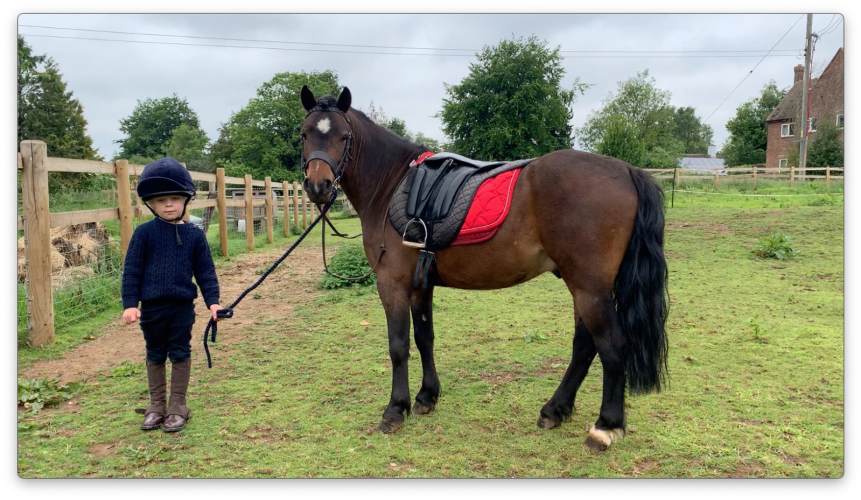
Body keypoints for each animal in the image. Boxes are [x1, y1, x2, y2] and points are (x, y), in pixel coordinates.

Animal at [299, 85, 669, 451]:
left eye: (344, 136)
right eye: (304, 134)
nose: (318, 186)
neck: (391, 185)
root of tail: (627, 170)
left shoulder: (393, 282)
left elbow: (398, 345)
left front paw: (394, 409)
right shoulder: (421, 284)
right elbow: (424, 337)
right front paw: (426, 397)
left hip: (589, 288)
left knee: (612, 347)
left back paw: (605, 427)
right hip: (583, 287)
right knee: (584, 346)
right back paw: (555, 409)